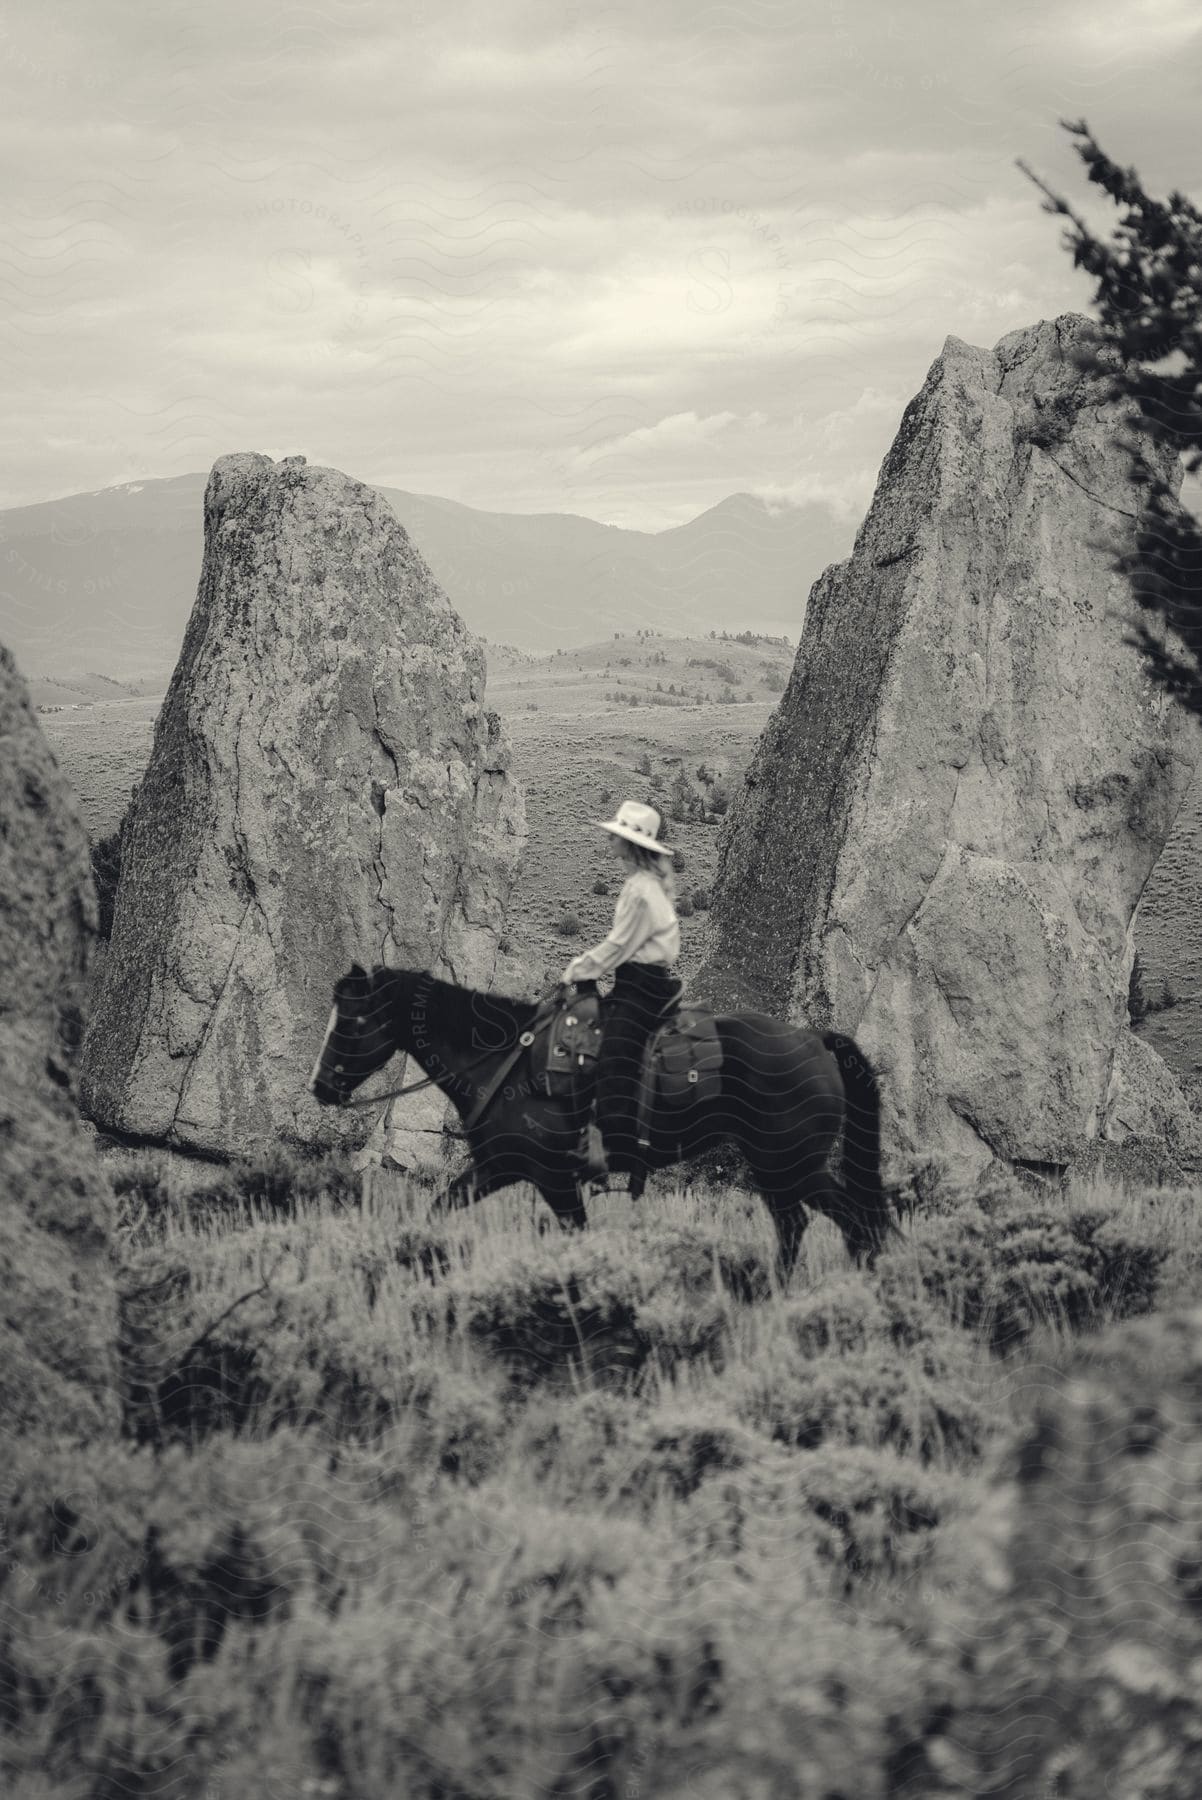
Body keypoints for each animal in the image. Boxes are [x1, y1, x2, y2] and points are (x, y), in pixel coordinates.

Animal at [313, 964, 899, 1274]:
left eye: (353, 1020)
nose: (320, 1087)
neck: (504, 1060)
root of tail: (815, 1040)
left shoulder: (552, 1178)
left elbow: (576, 1234)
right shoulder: (497, 1169)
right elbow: (438, 1211)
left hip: (790, 1163)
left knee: (852, 1220)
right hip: (777, 1169)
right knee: (800, 1224)